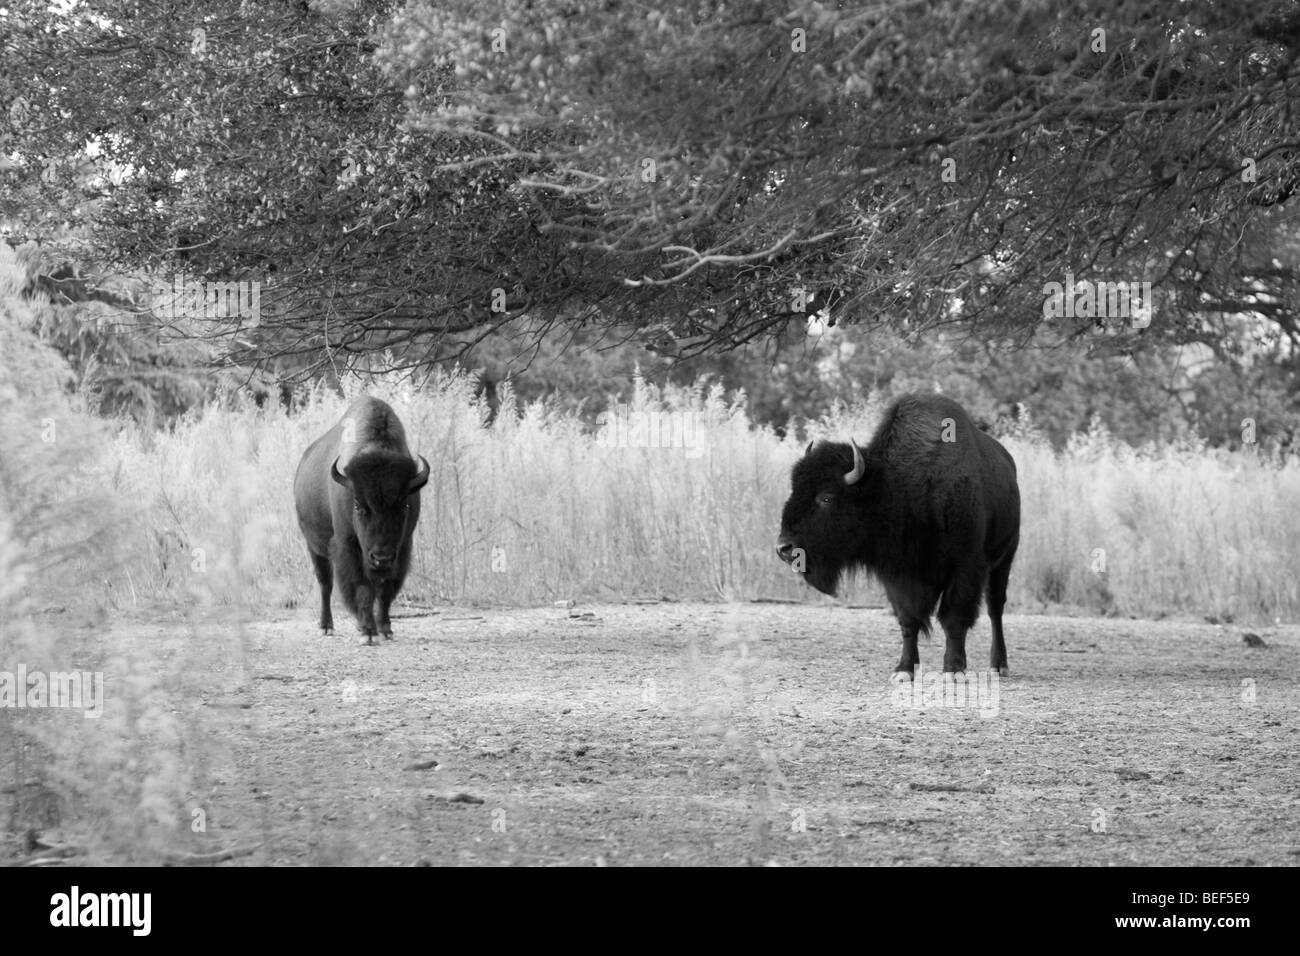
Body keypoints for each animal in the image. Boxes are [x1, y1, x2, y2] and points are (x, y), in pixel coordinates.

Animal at [292, 392, 428, 647]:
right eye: (358, 505)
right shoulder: (348, 546)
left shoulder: (402, 548)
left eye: (404, 505)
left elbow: (386, 590)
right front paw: (368, 632)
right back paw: (327, 626)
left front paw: (385, 629)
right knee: (326, 584)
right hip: (314, 547)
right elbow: (361, 587)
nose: (381, 557)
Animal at [774, 395, 1019, 681]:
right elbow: (908, 620)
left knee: (995, 608)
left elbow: (954, 620)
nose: (784, 548)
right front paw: (904, 670)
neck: (897, 486)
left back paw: (998, 665)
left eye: (826, 498)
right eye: (794, 490)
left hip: (1004, 559)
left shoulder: (964, 568)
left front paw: (953, 670)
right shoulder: (896, 575)